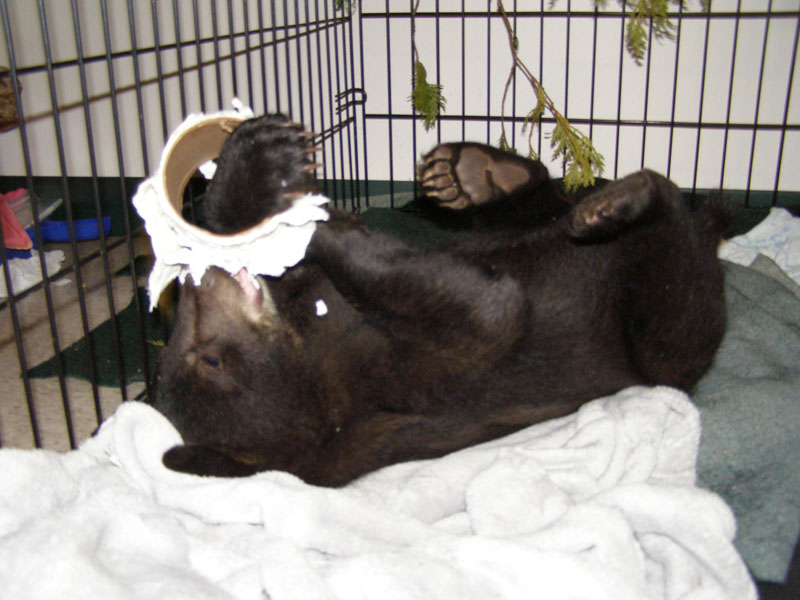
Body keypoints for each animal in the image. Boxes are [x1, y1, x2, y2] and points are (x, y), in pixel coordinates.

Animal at [149, 114, 729, 487]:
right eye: (210, 360)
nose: (197, 282)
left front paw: (242, 176)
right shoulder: (400, 381)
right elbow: (487, 310)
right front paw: (296, 209)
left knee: (538, 202)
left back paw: (476, 174)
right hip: (662, 339)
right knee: (678, 300)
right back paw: (629, 202)